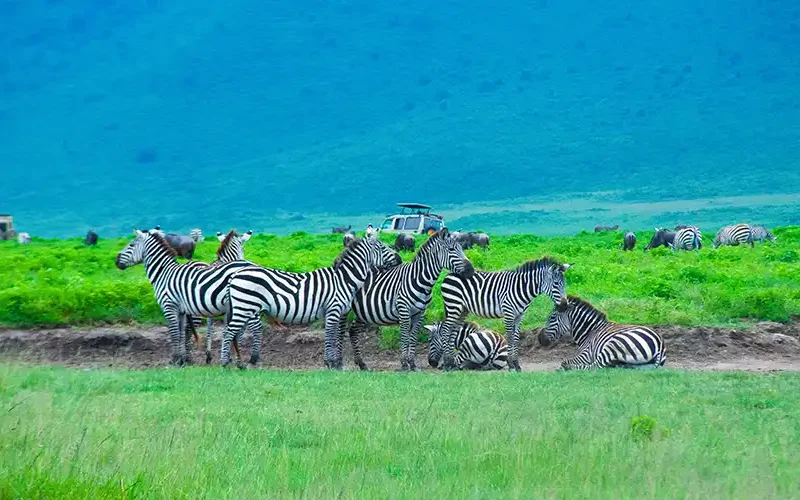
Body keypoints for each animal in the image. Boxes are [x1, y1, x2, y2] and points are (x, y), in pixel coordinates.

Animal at [115, 229, 256, 366]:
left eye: (131, 245)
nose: (116, 261)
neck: (164, 273)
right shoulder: (182, 310)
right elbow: (181, 333)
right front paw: (182, 359)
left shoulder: (169, 306)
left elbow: (174, 333)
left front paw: (175, 359)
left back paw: (247, 359)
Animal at [219, 236, 400, 370]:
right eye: (383, 247)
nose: (399, 258)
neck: (343, 279)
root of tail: (235, 274)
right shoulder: (333, 309)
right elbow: (330, 336)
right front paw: (330, 363)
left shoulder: (337, 312)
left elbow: (335, 335)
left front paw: (334, 363)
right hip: (244, 307)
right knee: (228, 332)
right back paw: (225, 363)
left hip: (245, 308)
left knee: (234, 332)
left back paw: (240, 363)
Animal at [340, 229, 472, 372]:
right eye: (451, 249)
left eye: (462, 248)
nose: (471, 270)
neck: (420, 280)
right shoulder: (403, 310)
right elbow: (404, 336)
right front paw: (404, 364)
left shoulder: (420, 313)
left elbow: (413, 337)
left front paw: (412, 364)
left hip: (363, 312)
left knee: (353, 331)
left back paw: (361, 363)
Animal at [434, 258, 572, 372]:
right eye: (555, 284)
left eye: (565, 284)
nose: (564, 306)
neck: (521, 288)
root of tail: (450, 273)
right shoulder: (509, 313)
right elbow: (510, 337)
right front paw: (511, 365)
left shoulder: (519, 316)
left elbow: (516, 338)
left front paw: (517, 365)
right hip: (453, 305)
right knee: (446, 330)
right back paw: (447, 364)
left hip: (462, 309)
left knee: (453, 330)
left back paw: (451, 364)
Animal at [536, 296, 668, 372]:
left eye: (552, 317)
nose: (540, 339)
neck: (589, 331)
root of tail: (659, 344)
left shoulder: (586, 354)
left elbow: (566, 361)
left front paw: (563, 366)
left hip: (614, 344)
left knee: (595, 366)